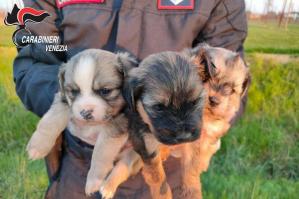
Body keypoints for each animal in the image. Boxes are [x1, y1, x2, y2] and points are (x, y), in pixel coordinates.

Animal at [25, 49, 143, 198]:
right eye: (74, 91)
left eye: (105, 91)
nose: (85, 112)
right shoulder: (63, 100)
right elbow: (50, 120)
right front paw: (38, 146)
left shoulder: (119, 123)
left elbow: (101, 151)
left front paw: (94, 180)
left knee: (123, 167)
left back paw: (108, 187)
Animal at [123, 51, 207, 199]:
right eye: (159, 107)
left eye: (194, 102)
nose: (184, 136)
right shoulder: (148, 147)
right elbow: (157, 177)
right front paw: (163, 195)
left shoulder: (191, 144)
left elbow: (191, 168)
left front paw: (192, 191)